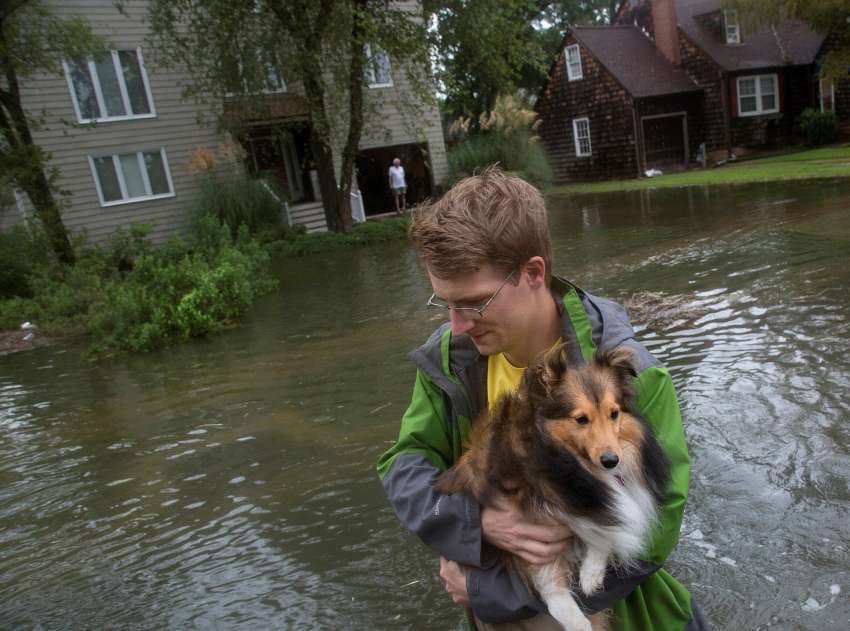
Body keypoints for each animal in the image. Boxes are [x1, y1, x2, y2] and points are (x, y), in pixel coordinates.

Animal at [438, 346, 668, 631]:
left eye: (614, 413)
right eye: (581, 419)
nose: (612, 461)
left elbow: (604, 528)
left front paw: (591, 574)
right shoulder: (534, 535)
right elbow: (556, 594)